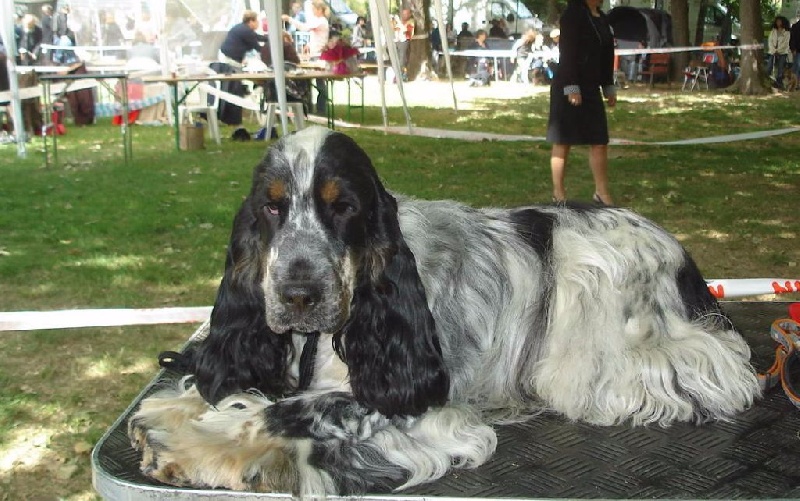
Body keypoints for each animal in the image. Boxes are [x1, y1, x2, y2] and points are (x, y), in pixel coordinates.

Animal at [129, 126, 760, 496]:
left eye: (344, 207)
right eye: (271, 207)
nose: (298, 294)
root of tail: (683, 255)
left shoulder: (420, 409)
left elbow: (290, 411)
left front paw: (187, 444)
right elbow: (230, 388)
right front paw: (175, 414)